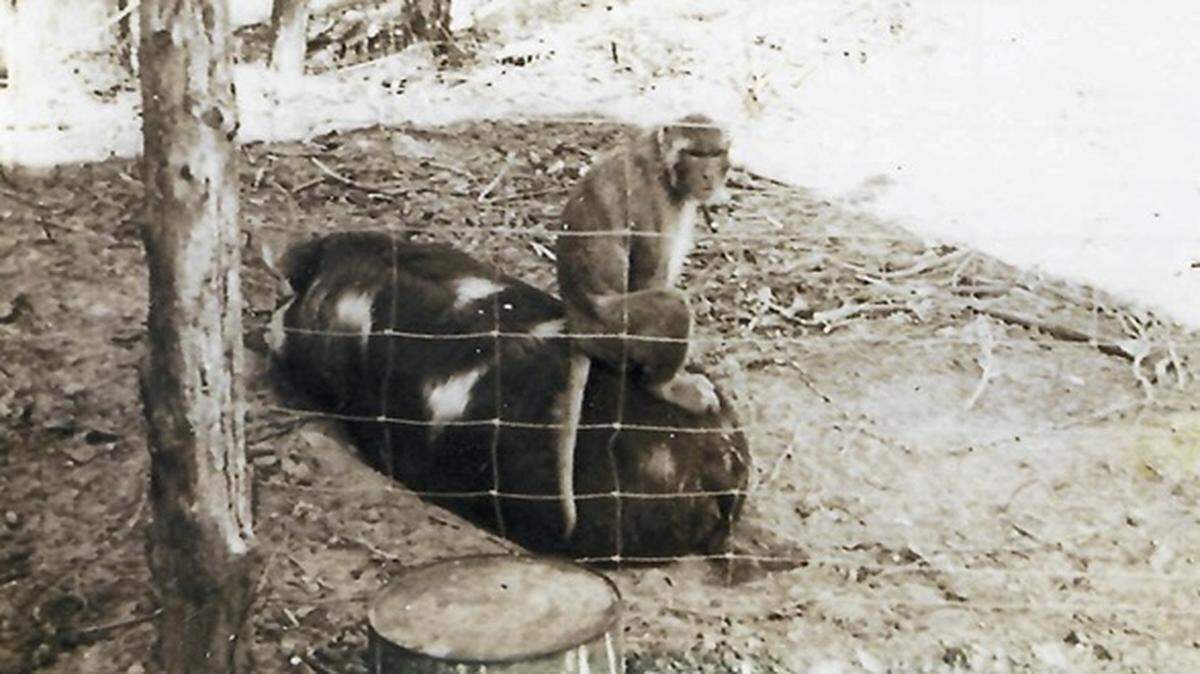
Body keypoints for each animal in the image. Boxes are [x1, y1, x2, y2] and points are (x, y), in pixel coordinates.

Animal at [553, 114, 732, 539]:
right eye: (694, 153)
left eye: (714, 153)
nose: (707, 175)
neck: (666, 168)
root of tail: (578, 327)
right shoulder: (653, 203)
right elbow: (649, 279)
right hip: (614, 332)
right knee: (672, 307)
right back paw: (666, 386)